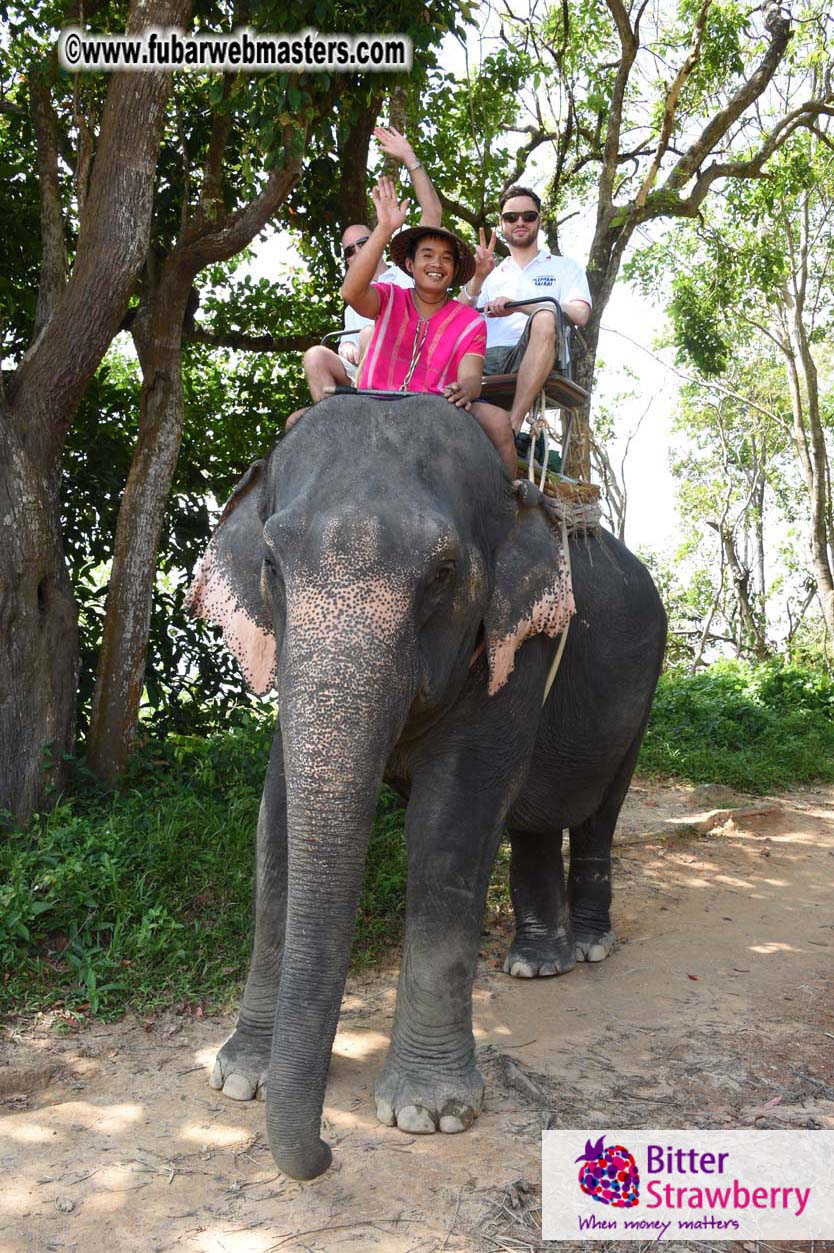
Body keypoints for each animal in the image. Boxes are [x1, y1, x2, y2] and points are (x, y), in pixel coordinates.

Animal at [186, 392, 666, 1182]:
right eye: (270, 565)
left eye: (442, 574)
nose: (325, 1152)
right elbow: (277, 824)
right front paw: (237, 1078)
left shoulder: (518, 641)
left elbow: (453, 820)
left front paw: (428, 1112)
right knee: (534, 822)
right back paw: (537, 964)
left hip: (644, 688)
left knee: (600, 811)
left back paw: (589, 948)